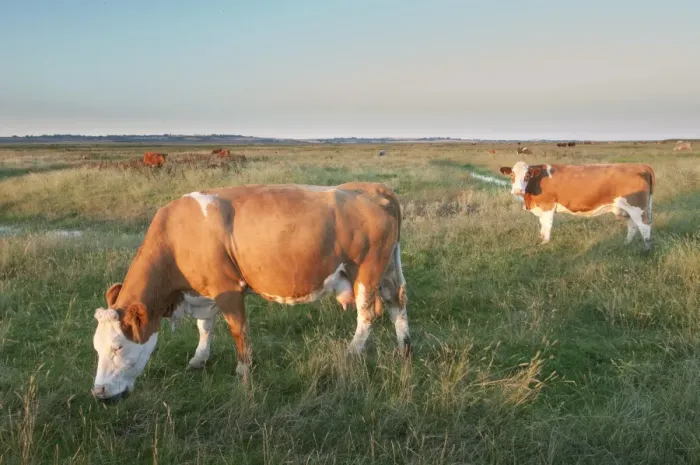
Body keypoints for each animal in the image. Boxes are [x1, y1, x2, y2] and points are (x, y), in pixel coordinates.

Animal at [90, 182, 410, 401]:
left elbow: (238, 330)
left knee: (367, 313)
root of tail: (373, 188)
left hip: (367, 271)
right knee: (397, 302)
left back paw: (352, 352)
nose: (99, 391)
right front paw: (199, 359)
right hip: (387, 270)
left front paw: (243, 371)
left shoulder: (227, 289)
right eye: (96, 346)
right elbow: (205, 327)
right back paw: (404, 347)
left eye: (118, 346)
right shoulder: (204, 292)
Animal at [499, 161, 655, 250]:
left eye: (527, 176)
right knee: (632, 225)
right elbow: (542, 225)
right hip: (627, 208)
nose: (518, 190)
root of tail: (640, 165)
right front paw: (541, 239)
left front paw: (545, 243)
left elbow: (546, 225)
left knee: (644, 225)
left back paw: (647, 248)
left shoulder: (548, 205)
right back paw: (626, 243)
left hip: (636, 206)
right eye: (512, 175)